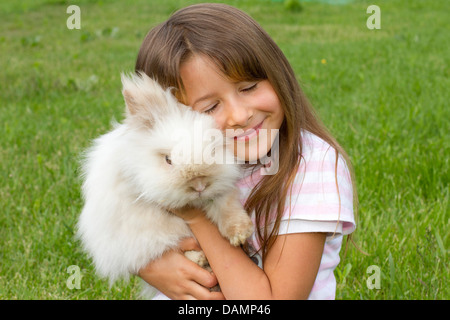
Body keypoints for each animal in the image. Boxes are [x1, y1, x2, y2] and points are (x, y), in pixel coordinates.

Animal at [77, 72, 253, 298]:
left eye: (213, 151)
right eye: (168, 160)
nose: (199, 186)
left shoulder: (223, 193)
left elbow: (227, 209)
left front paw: (240, 235)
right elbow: (162, 239)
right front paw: (199, 256)